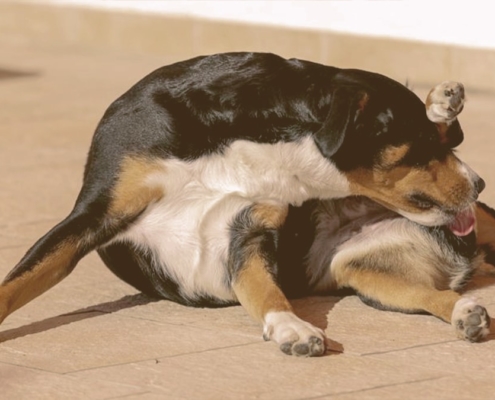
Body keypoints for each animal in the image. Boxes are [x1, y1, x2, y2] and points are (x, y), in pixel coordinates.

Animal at [0, 52, 492, 356]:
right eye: (420, 146)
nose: (480, 183)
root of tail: (465, 260)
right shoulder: (92, 216)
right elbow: (18, 283)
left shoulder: (249, 233)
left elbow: (263, 290)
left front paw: (290, 328)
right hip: (367, 274)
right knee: (431, 294)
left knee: (441, 293)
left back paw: (442, 101)